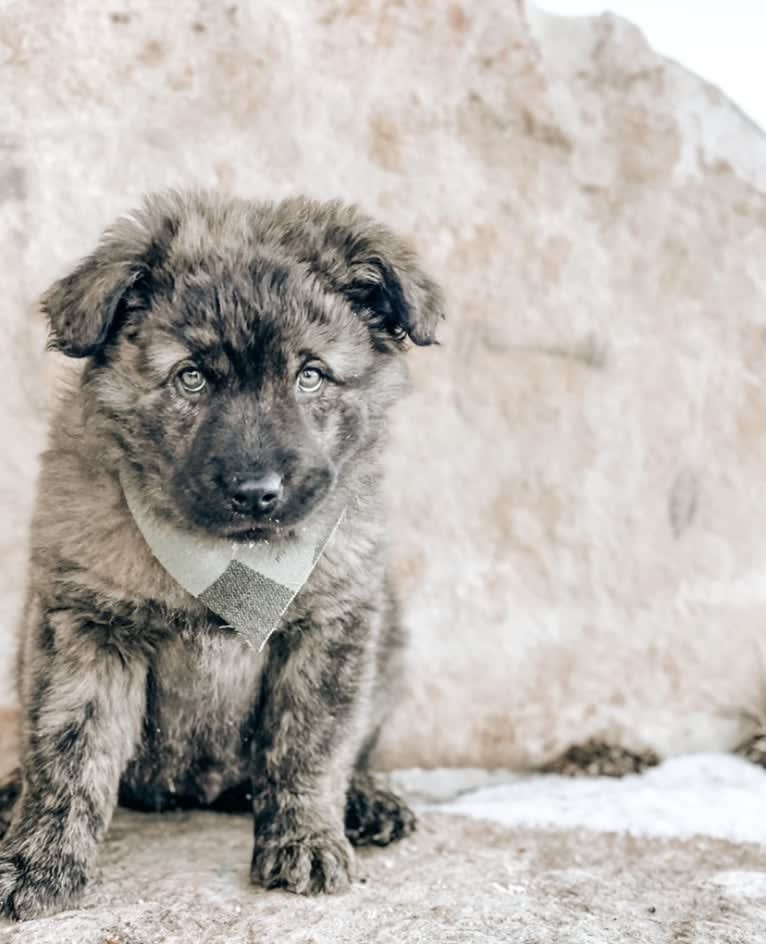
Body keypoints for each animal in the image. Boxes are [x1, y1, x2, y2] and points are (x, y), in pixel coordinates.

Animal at [0, 192, 444, 920]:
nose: (256, 492)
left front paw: (305, 839)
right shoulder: (89, 626)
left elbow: (312, 745)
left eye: (311, 375)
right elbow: (70, 756)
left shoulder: (331, 625)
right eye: (192, 378)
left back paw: (365, 801)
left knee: (358, 749)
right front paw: (39, 861)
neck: (225, 562)